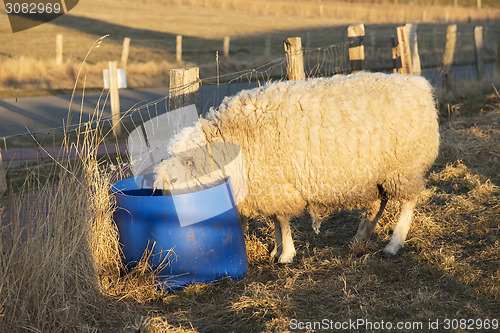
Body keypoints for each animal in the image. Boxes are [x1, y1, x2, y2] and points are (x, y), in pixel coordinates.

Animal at [152, 72, 438, 262]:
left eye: (175, 181)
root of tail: (419, 84)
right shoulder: (268, 186)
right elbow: (276, 220)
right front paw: (277, 249)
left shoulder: (276, 183)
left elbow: (281, 219)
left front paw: (285, 254)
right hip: (378, 172)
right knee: (379, 201)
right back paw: (361, 234)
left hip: (404, 167)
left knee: (408, 202)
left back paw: (394, 243)